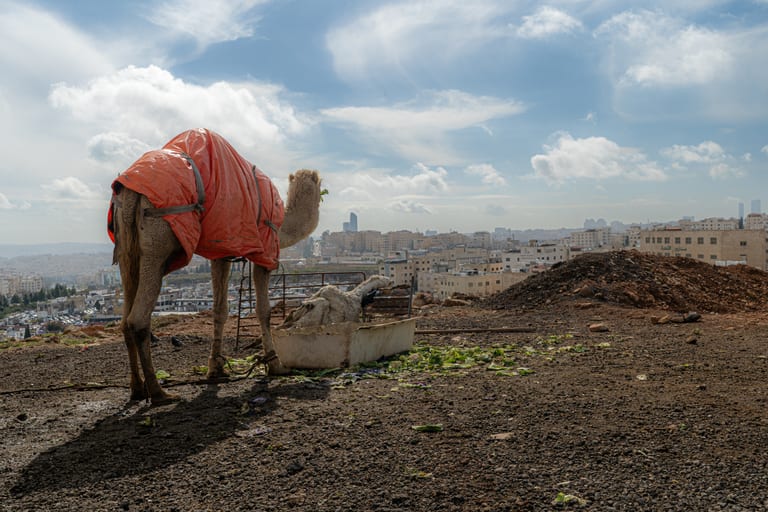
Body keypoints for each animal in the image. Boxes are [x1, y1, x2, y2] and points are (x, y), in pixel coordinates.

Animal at [109, 128, 321, 404]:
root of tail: (131, 190)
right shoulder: (265, 250)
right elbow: (263, 310)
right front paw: (276, 365)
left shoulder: (221, 252)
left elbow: (220, 309)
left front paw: (216, 369)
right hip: (158, 237)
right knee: (138, 318)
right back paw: (160, 393)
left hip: (126, 247)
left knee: (124, 318)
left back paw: (136, 389)